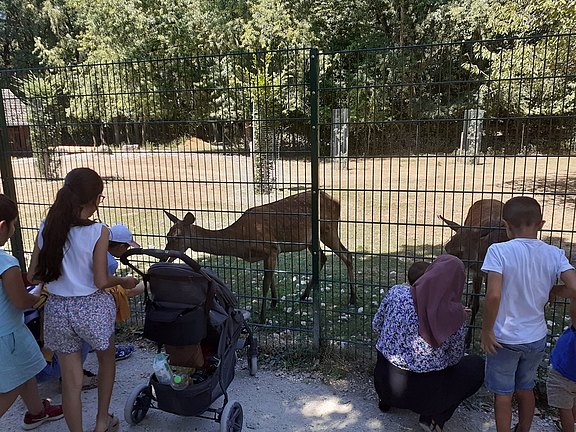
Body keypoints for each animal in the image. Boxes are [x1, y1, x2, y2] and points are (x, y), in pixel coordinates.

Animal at [162, 190, 356, 324]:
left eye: (176, 237)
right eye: (167, 235)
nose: (164, 257)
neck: (241, 242)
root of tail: (337, 201)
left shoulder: (271, 247)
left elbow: (265, 283)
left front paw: (262, 317)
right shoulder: (269, 253)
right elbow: (271, 280)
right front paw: (274, 302)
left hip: (328, 228)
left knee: (347, 255)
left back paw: (352, 298)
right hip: (311, 238)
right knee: (323, 257)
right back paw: (304, 295)